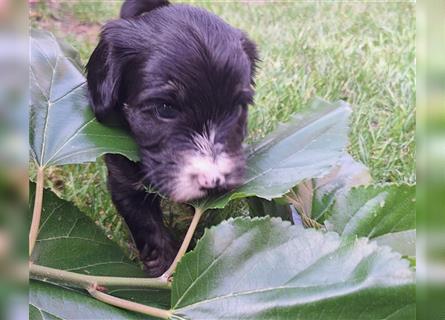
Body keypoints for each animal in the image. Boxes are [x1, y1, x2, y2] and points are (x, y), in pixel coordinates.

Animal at [86, 0, 256, 276]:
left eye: (237, 108)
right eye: (165, 109)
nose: (214, 180)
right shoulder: (123, 179)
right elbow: (148, 226)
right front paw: (165, 268)